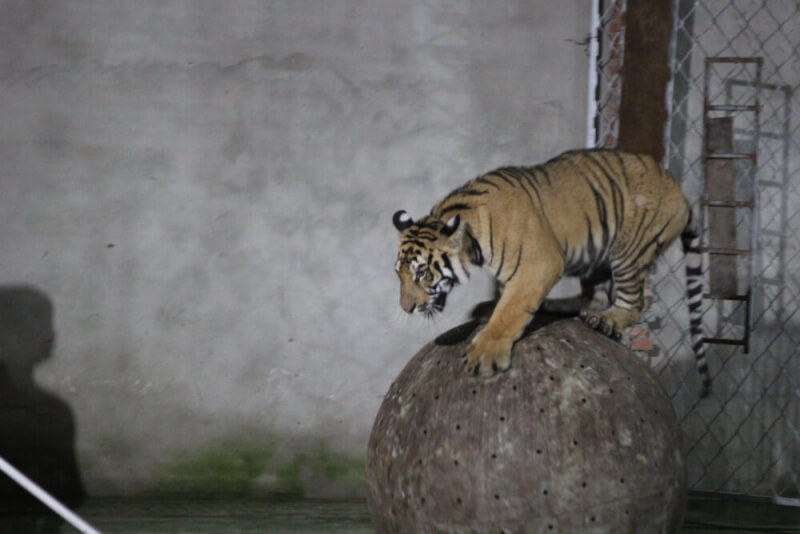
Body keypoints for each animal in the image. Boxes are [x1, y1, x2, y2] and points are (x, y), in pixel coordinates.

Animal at [394, 149, 712, 400]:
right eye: (399, 274)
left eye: (421, 273)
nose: (406, 309)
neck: (473, 241)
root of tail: (680, 190)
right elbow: (503, 296)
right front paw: (488, 307)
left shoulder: (540, 263)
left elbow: (510, 310)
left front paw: (486, 354)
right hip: (594, 255)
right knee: (594, 297)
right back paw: (559, 306)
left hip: (629, 251)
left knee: (633, 304)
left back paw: (607, 320)